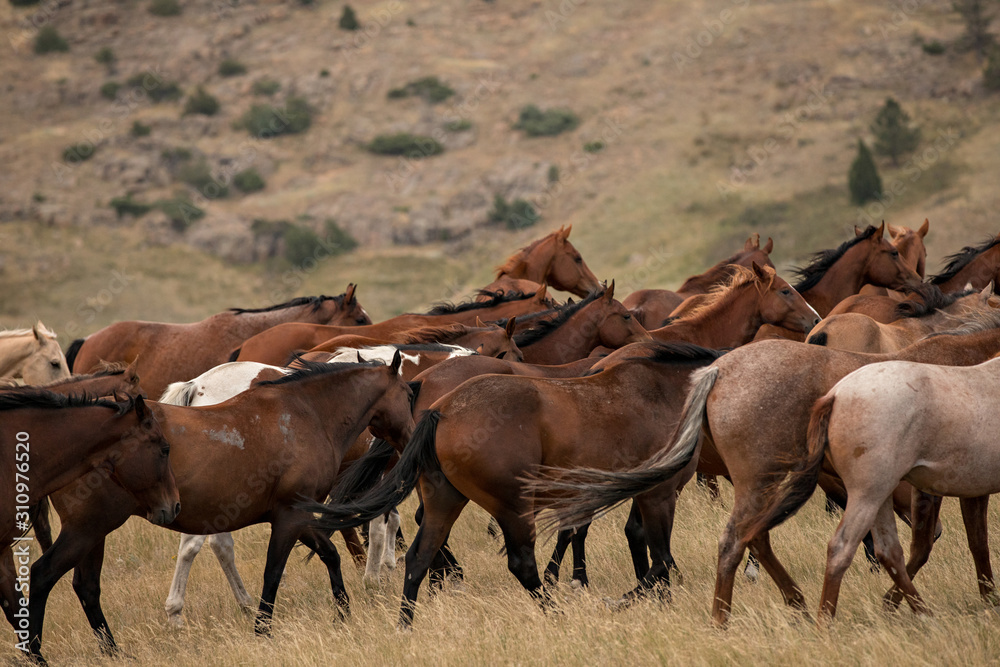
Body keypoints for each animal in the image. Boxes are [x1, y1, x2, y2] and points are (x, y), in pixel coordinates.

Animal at [26, 357, 416, 663]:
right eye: (409, 394)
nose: (412, 437)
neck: (307, 413)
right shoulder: (290, 516)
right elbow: (274, 572)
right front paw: (262, 631)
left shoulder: (298, 515)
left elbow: (330, 555)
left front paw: (343, 614)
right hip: (88, 529)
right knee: (44, 575)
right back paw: (36, 653)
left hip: (95, 533)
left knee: (87, 587)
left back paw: (113, 651)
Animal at [301, 343, 730, 628]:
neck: (665, 393)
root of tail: (441, 410)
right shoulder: (660, 493)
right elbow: (660, 558)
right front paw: (627, 598)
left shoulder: (640, 494)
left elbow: (643, 547)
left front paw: (656, 600)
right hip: (514, 507)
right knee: (522, 564)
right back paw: (556, 614)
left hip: (447, 500)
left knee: (419, 556)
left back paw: (406, 623)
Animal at [747, 356, 1000, 621]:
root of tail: (835, 395)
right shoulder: (972, 489)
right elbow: (977, 544)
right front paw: (991, 600)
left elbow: (972, 543)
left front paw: (989, 599)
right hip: (868, 496)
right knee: (842, 549)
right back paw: (826, 621)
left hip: (881, 497)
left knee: (889, 551)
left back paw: (922, 614)